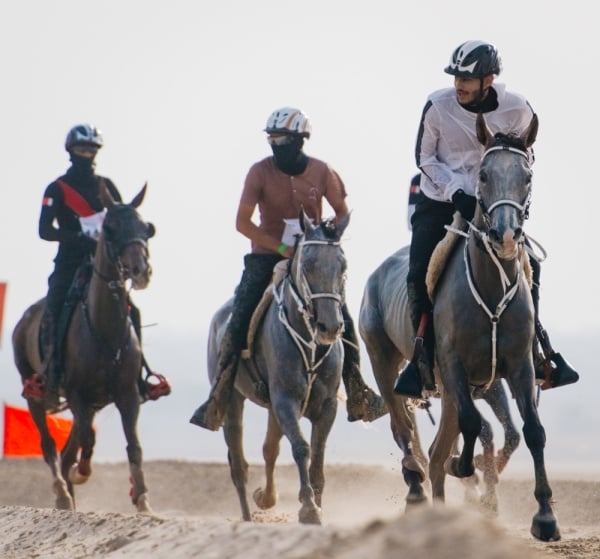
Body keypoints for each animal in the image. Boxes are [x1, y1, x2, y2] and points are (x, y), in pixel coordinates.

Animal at [13, 186, 157, 516]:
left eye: (146, 228)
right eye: (111, 228)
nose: (141, 271)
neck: (105, 330)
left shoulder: (127, 395)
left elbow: (134, 445)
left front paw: (143, 499)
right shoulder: (77, 395)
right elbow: (87, 441)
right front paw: (81, 473)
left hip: (92, 404)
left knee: (68, 449)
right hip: (35, 394)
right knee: (50, 446)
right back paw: (63, 494)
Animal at [206, 210, 350, 524]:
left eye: (343, 265)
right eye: (307, 264)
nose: (330, 326)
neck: (309, 341)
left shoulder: (327, 405)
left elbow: (317, 455)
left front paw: (316, 503)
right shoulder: (285, 400)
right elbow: (301, 448)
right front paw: (308, 507)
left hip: (271, 408)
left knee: (269, 449)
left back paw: (266, 497)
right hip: (233, 400)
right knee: (238, 463)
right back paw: (248, 515)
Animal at [428, 111, 560, 540]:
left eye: (528, 176)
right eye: (483, 175)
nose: (505, 235)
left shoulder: (520, 366)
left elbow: (534, 430)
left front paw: (545, 516)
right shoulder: (452, 364)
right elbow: (472, 424)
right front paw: (465, 469)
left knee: (437, 451)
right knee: (440, 450)